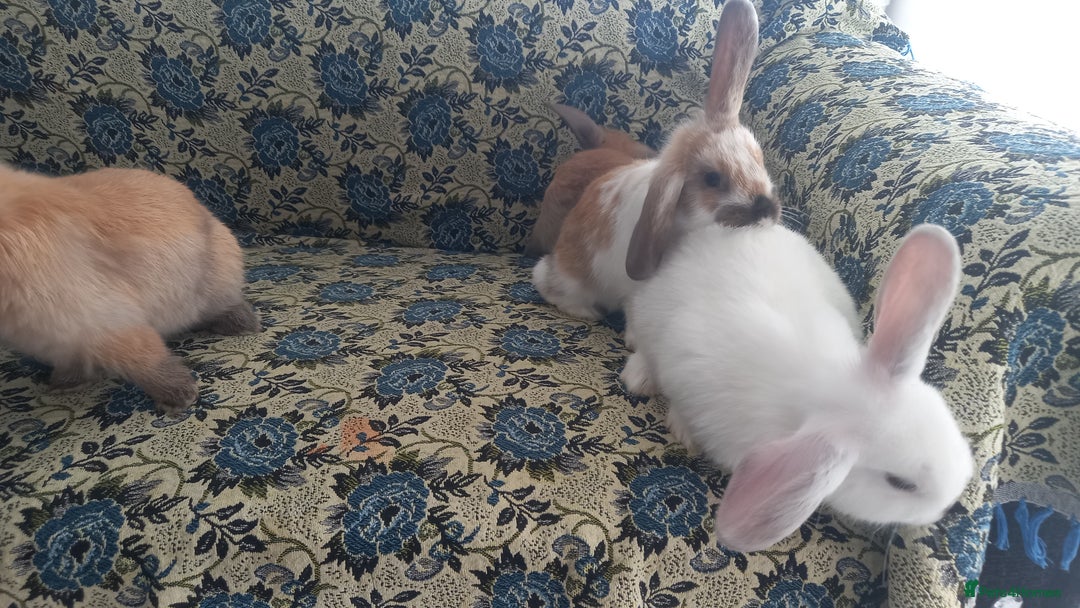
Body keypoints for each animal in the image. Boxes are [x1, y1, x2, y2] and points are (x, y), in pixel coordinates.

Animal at [0, 163, 261, 414]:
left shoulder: (109, 321)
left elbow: (146, 360)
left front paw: (180, 398)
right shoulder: (66, 340)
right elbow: (75, 361)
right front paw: (65, 384)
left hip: (214, 285)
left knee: (226, 305)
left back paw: (243, 325)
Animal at [619, 221, 974, 552]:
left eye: (947, 421)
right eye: (900, 483)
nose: (950, 504)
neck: (825, 385)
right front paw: (683, 427)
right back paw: (638, 375)